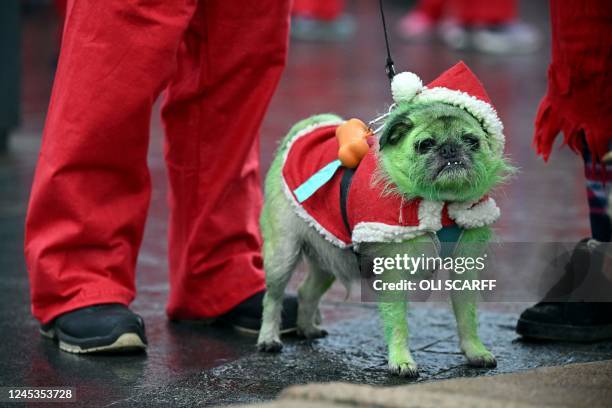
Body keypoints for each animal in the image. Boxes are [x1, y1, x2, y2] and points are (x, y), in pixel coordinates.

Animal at [256, 62, 512, 378]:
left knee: (306, 291)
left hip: (330, 251)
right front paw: (401, 361)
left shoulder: (464, 269)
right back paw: (269, 338)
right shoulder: (393, 274)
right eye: (424, 144)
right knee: (273, 298)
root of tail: (301, 132)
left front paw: (475, 350)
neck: (441, 202)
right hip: (283, 254)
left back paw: (307, 329)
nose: (450, 150)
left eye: (471, 141)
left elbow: (467, 315)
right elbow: (398, 322)